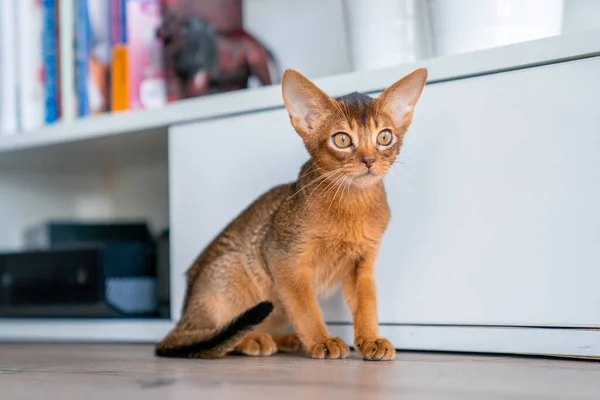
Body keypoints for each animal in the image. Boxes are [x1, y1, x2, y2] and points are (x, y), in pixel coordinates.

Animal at [155, 67, 426, 360]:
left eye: (384, 137)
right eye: (342, 139)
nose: (369, 160)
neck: (352, 205)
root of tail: (183, 316)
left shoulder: (363, 264)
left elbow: (367, 305)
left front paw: (371, 340)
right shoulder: (284, 259)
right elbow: (306, 307)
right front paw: (323, 340)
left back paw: (286, 340)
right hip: (235, 273)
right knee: (210, 337)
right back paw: (253, 340)